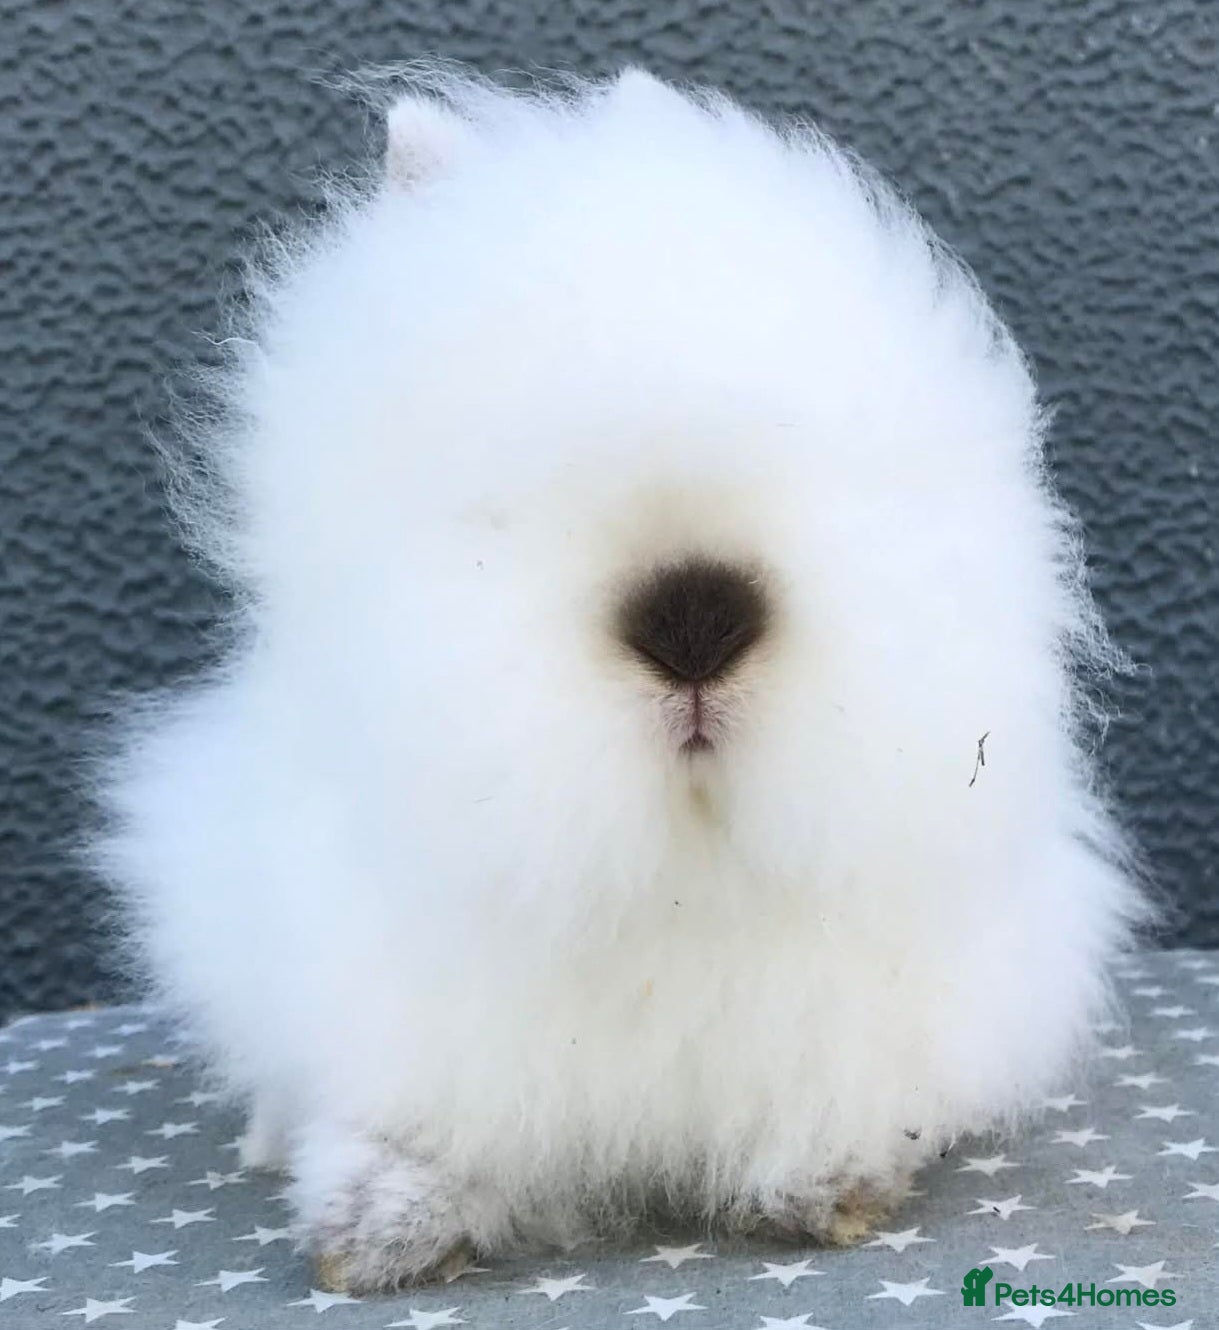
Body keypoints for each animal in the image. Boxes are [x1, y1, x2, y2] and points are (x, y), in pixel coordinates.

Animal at [92, 66, 1150, 1292]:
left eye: (850, 474)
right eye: (496, 503)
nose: (695, 617)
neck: (670, 880)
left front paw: (828, 1182)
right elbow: (412, 1131)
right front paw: (377, 1229)